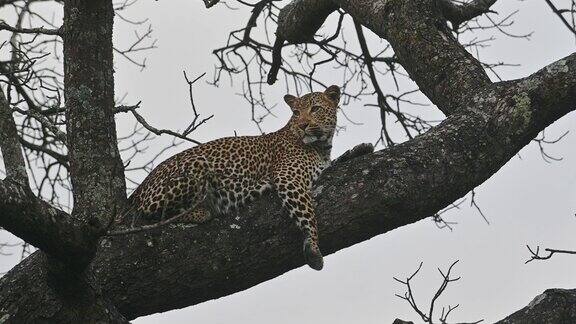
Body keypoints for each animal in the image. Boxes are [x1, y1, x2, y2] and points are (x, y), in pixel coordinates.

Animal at [124, 85, 340, 270]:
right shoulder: (287, 177)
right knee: (148, 214)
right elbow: (308, 213)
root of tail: (141, 186)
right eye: (296, 113)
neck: (322, 147)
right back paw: (202, 210)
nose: (303, 125)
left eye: (315, 109)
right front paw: (314, 249)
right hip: (195, 166)